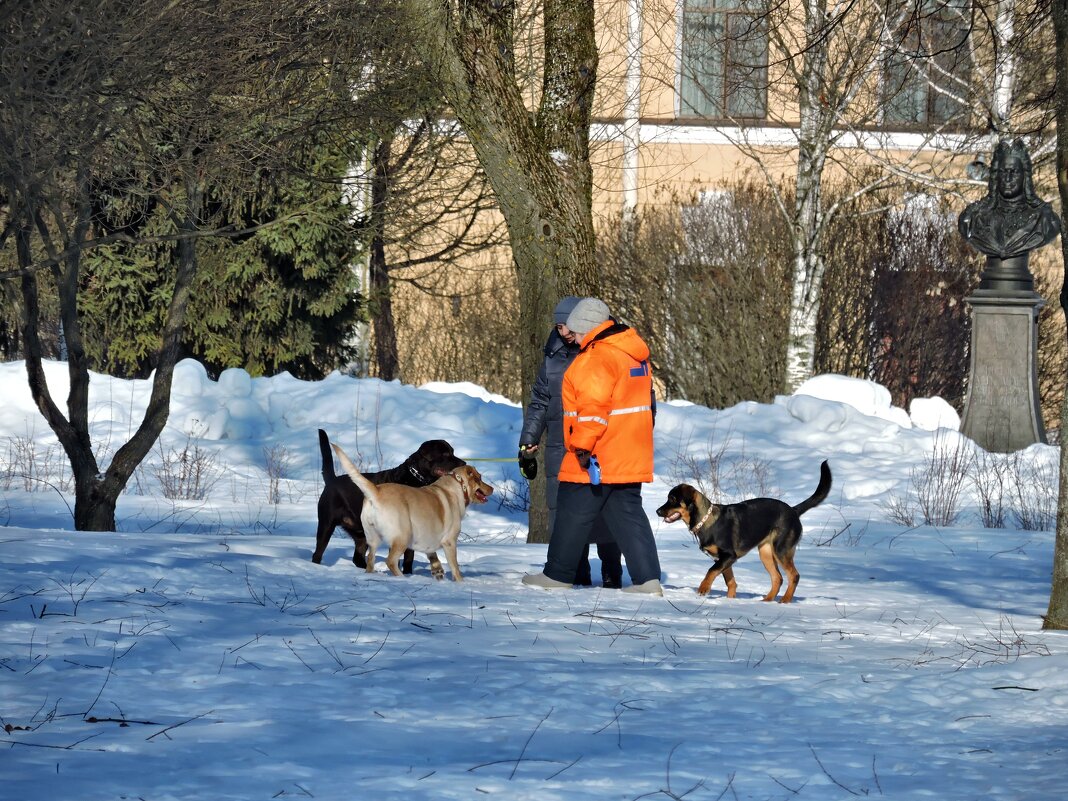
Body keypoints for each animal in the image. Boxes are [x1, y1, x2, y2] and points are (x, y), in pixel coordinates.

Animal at [309, 429, 463, 572]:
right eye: (445, 454)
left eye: (452, 451)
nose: (463, 462)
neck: (415, 480)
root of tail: (332, 480)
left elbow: (409, 557)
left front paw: (408, 574)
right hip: (326, 524)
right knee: (318, 553)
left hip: (362, 533)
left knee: (357, 557)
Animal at [653, 463, 828, 602]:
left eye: (673, 499)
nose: (657, 511)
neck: (705, 520)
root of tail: (793, 510)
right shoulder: (722, 559)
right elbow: (730, 581)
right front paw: (730, 601)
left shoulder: (729, 555)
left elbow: (711, 571)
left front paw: (703, 588)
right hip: (765, 552)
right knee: (777, 578)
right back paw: (767, 601)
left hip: (781, 549)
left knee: (794, 576)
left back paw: (784, 601)